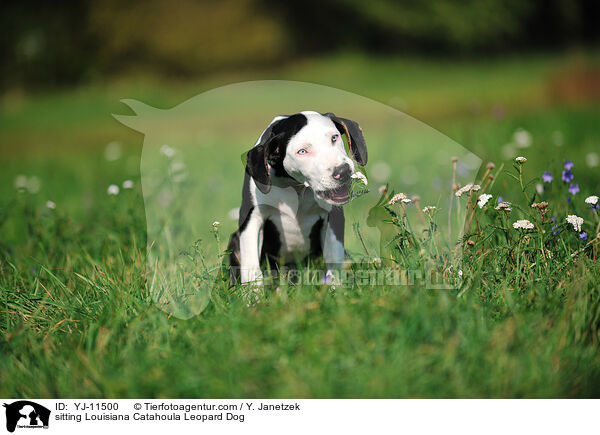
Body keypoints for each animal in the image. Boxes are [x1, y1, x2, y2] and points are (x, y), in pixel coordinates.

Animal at [229, 110, 366, 284]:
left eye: (334, 138)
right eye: (302, 151)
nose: (343, 171)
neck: (296, 187)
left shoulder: (332, 218)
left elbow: (333, 260)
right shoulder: (252, 218)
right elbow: (252, 267)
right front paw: (253, 292)